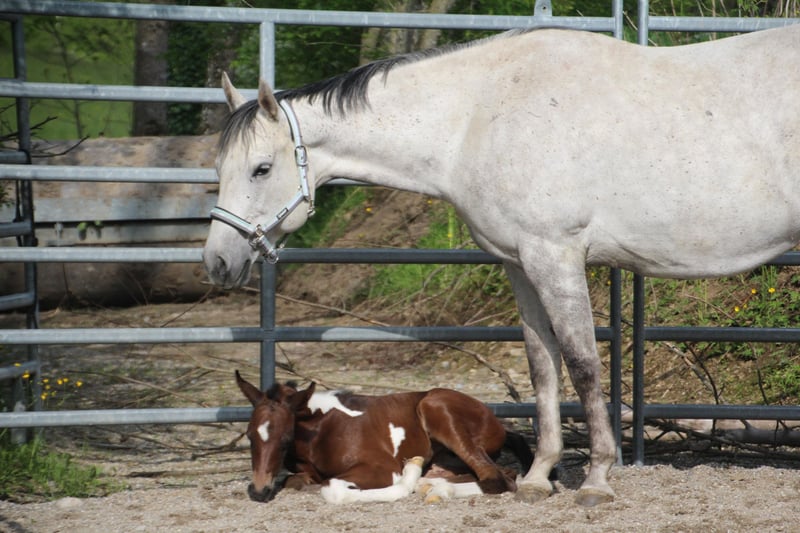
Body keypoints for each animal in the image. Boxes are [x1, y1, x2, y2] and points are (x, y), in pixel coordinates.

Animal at [235, 371, 533, 504]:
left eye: (285, 439)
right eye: (249, 436)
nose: (258, 491)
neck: (319, 431)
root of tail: (496, 421)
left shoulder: (382, 467)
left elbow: (332, 490)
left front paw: (407, 478)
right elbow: (293, 480)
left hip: (436, 406)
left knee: (498, 478)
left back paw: (430, 485)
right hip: (448, 457)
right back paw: (431, 483)